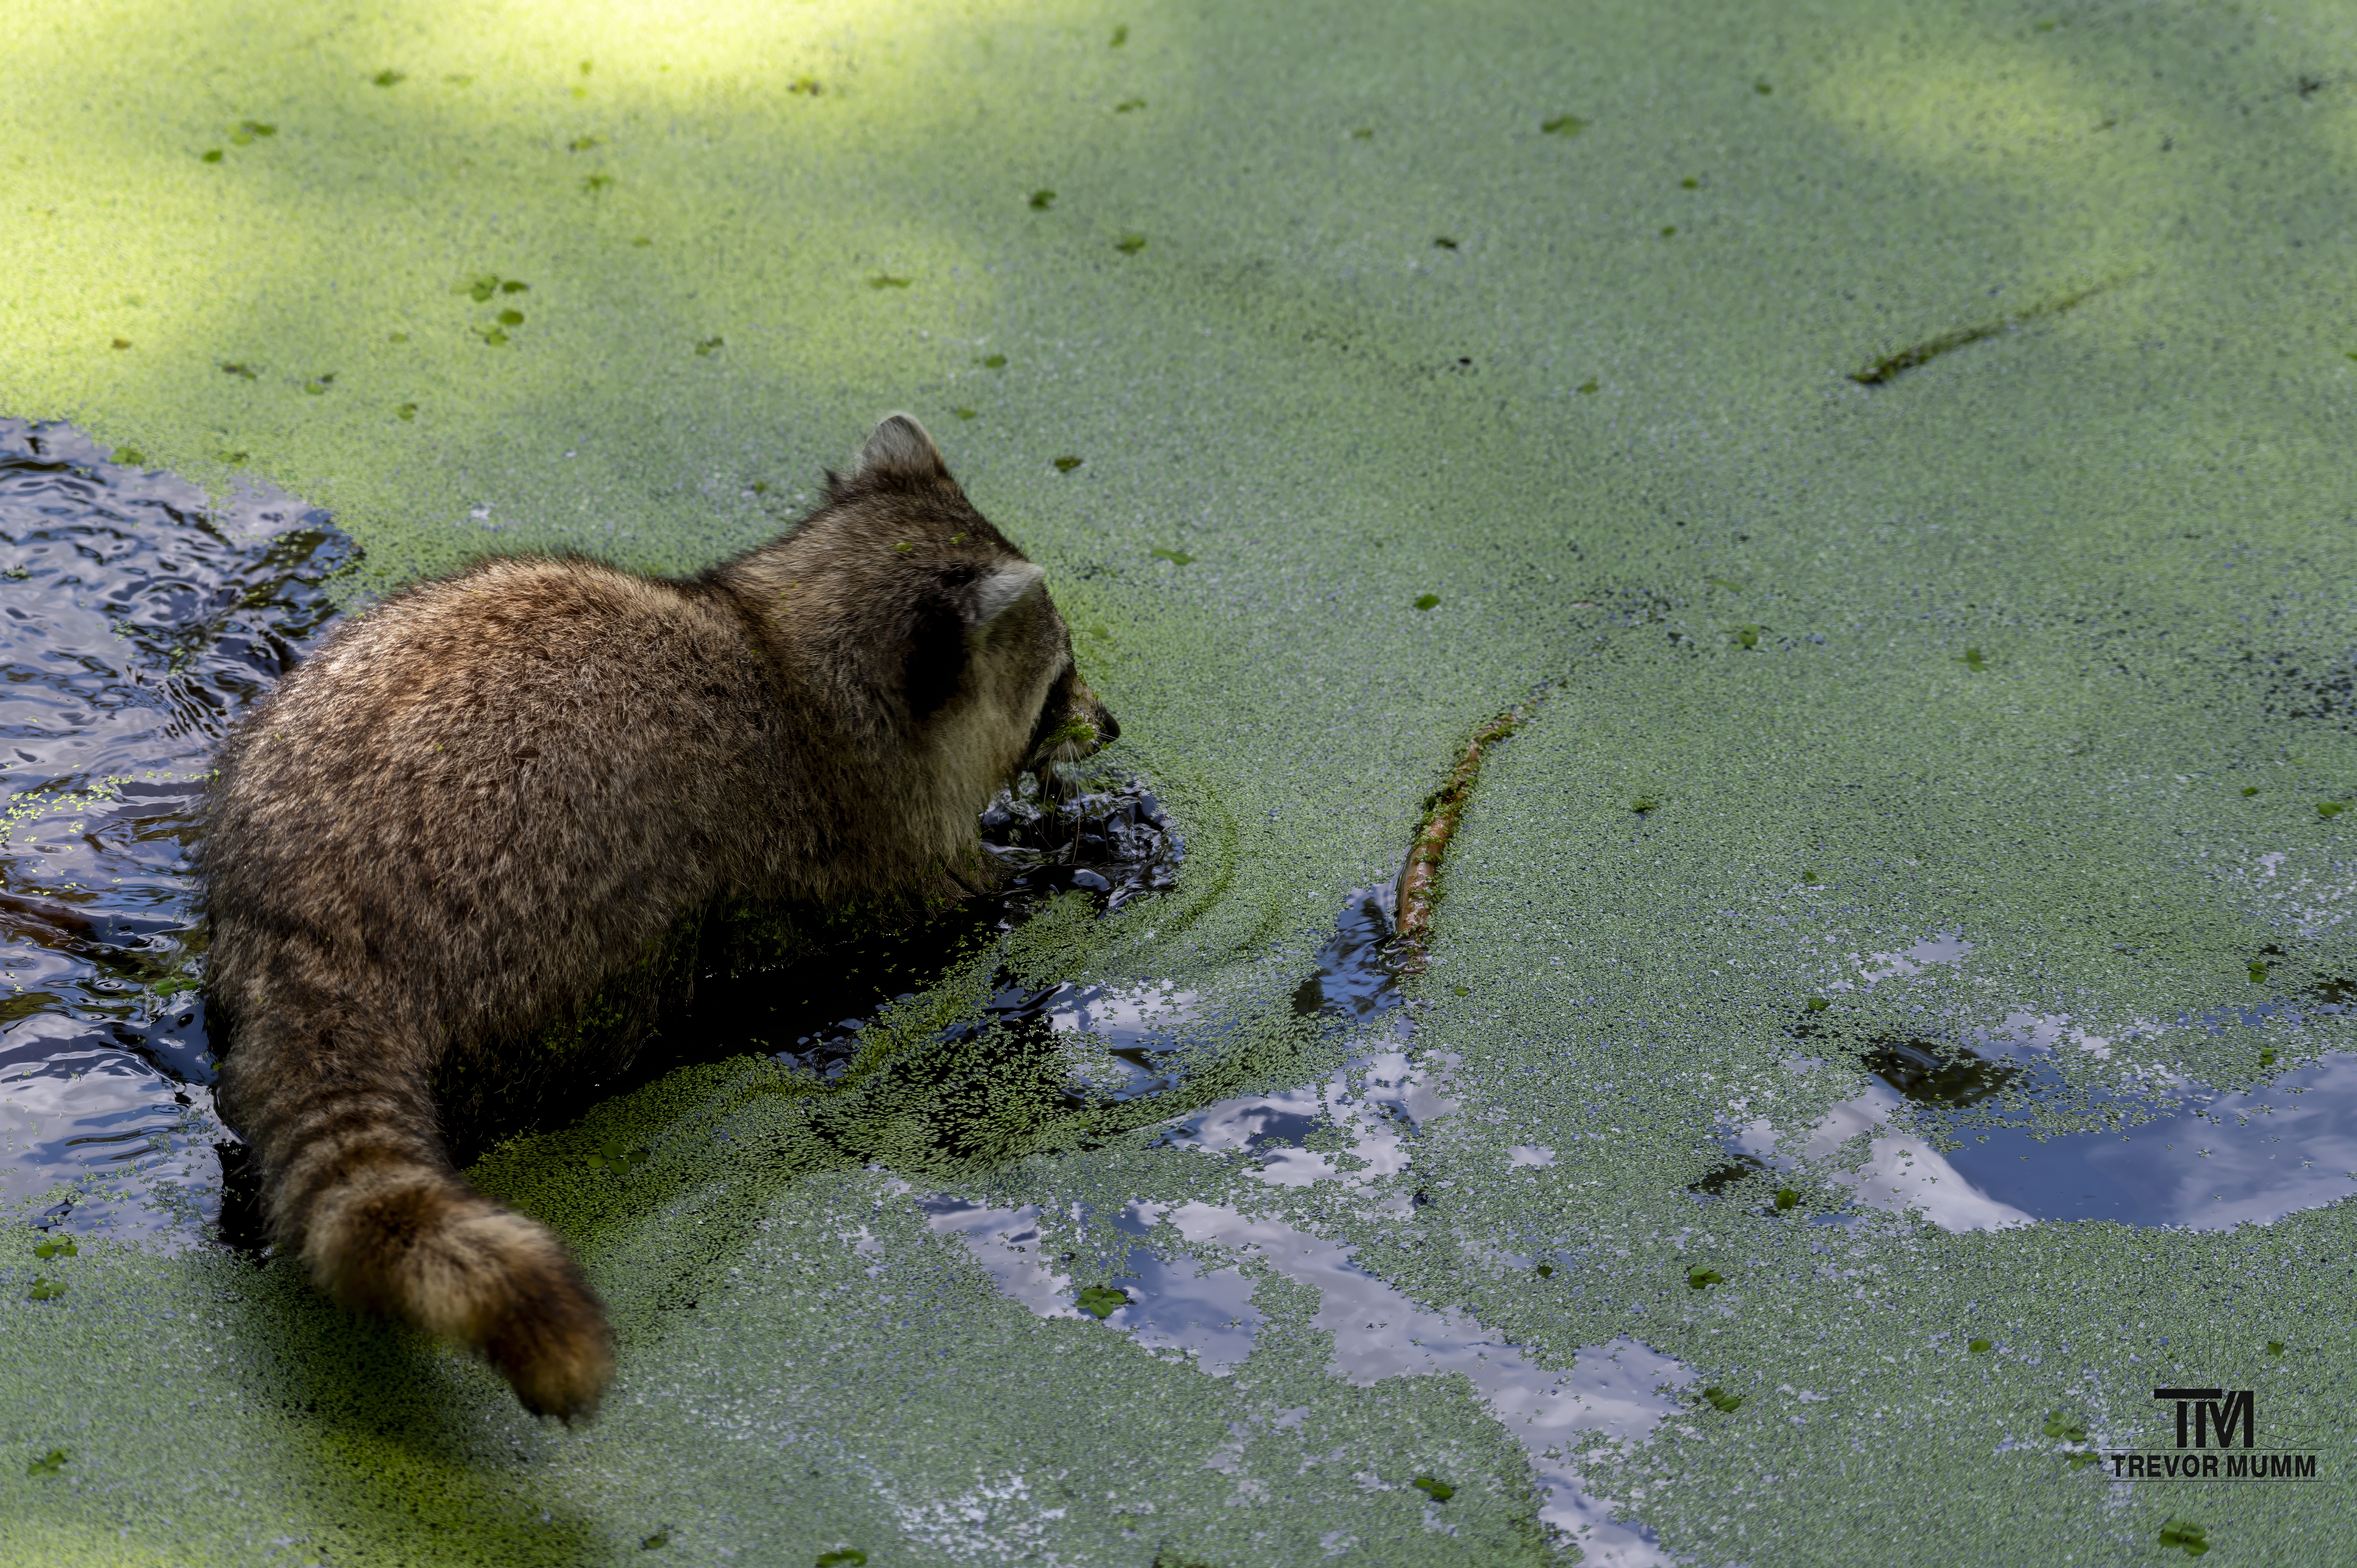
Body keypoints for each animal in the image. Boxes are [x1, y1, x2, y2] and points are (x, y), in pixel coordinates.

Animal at [204, 415, 1116, 1420]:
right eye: (1060, 678)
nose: (1110, 725)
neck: (786, 647)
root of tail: (316, 915)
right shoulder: (866, 861)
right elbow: (951, 908)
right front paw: (1071, 857)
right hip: (554, 929)